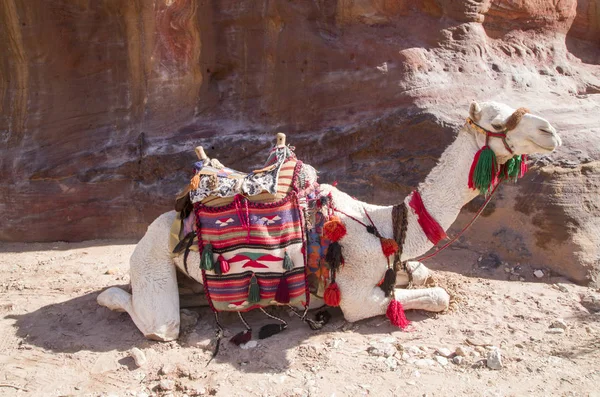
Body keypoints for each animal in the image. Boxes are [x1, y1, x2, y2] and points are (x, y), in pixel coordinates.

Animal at [98, 101, 564, 340]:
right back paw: (113, 297)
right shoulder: (356, 296)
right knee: (159, 324)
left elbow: (421, 274)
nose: (551, 132)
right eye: (499, 121)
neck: (384, 224)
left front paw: (417, 271)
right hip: (151, 260)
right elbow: (435, 297)